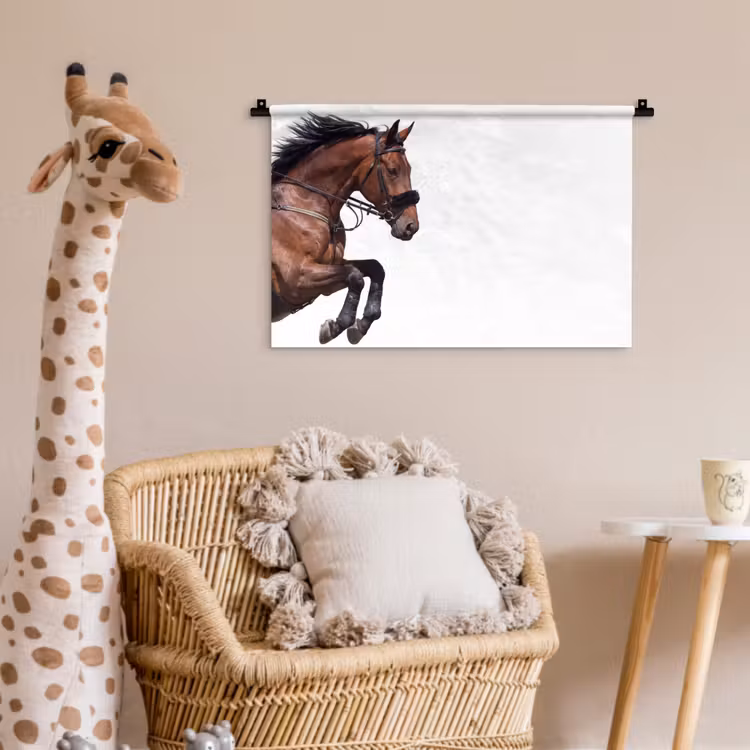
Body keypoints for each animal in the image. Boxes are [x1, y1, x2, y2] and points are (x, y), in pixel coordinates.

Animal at [271, 113, 420, 344]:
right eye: (393, 170)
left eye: (410, 169)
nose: (411, 226)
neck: (305, 204)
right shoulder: (297, 279)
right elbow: (355, 276)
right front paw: (336, 326)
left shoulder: (327, 274)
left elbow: (374, 268)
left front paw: (362, 323)